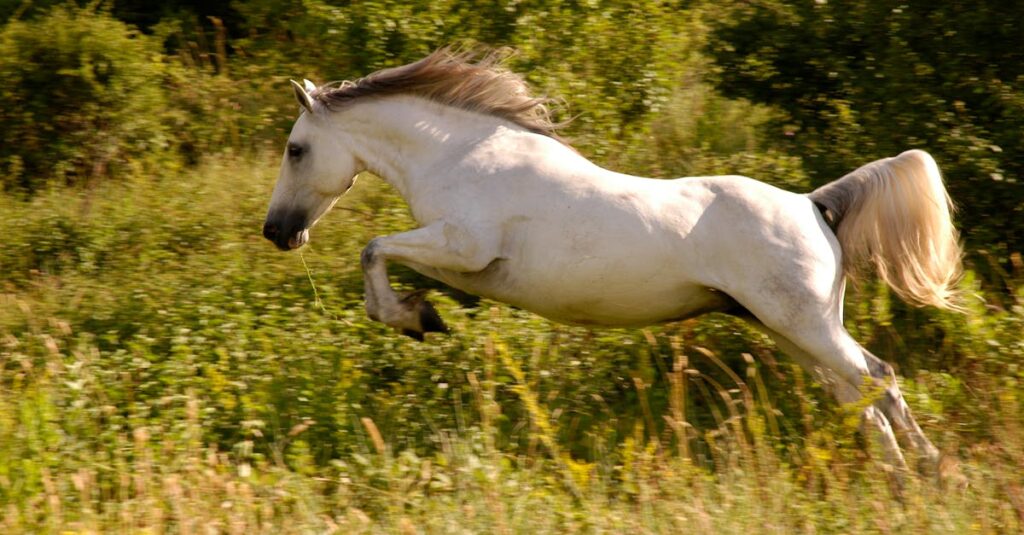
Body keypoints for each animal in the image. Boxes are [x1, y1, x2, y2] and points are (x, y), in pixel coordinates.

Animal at [262, 48, 963, 471]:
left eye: (296, 149)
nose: (276, 232)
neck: (462, 155)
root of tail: (813, 204)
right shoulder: (460, 260)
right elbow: (391, 259)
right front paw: (422, 313)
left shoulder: (465, 244)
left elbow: (374, 248)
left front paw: (412, 318)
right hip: (789, 329)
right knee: (857, 394)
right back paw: (896, 477)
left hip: (804, 325)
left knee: (879, 377)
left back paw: (931, 473)